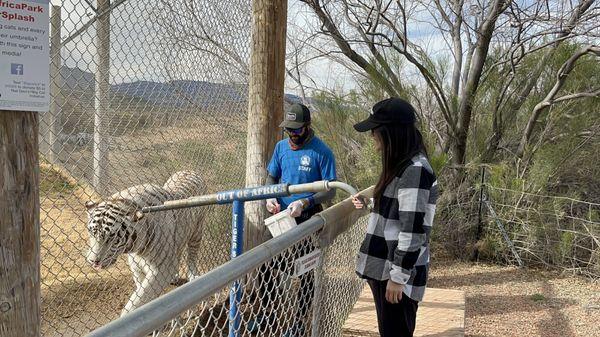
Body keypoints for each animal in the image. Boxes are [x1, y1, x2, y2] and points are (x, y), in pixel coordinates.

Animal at [84, 171, 206, 316]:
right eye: (91, 233)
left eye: (112, 238)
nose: (93, 261)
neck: (137, 249)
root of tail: (191, 170)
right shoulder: (136, 266)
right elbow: (140, 291)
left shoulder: (161, 269)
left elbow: (139, 298)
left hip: (197, 232)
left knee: (192, 256)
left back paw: (193, 276)